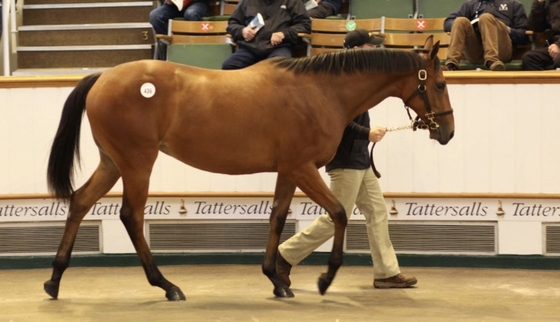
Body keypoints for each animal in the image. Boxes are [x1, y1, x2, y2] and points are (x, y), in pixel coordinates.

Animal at [44, 36, 456, 300]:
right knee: (130, 215)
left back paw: (54, 280)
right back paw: (166, 285)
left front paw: (277, 279)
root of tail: (102, 77)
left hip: (112, 163)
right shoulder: (302, 168)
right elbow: (339, 212)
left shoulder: (288, 171)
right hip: (137, 163)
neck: (320, 92)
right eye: (438, 83)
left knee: (80, 202)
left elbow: (278, 216)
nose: (448, 132)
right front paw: (324, 278)